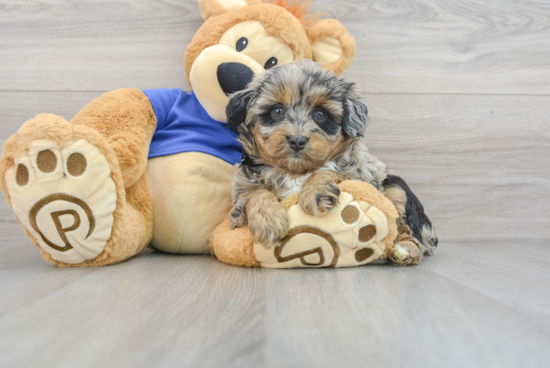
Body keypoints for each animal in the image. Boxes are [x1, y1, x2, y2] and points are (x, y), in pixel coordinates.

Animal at [226, 60, 438, 264]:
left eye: (320, 114)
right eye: (277, 111)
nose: (297, 140)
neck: (294, 171)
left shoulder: (362, 175)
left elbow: (331, 170)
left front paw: (315, 192)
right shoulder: (241, 196)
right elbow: (254, 194)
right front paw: (268, 220)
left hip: (397, 189)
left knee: (410, 232)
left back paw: (405, 251)